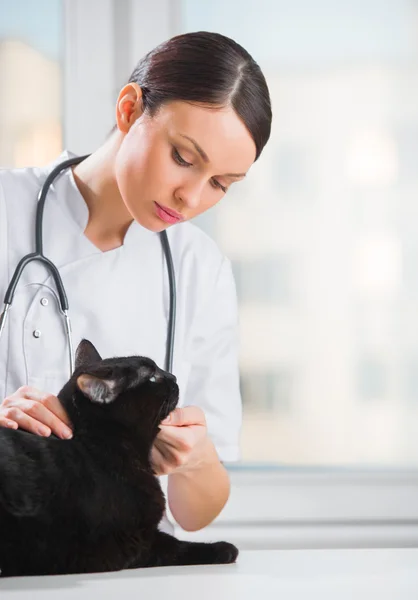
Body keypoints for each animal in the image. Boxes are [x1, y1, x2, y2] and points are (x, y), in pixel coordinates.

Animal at [0, 338, 237, 576]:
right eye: (152, 377)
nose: (173, 376)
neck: (98, 446)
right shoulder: (137, 543)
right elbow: (177, 547)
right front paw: (223, 549)